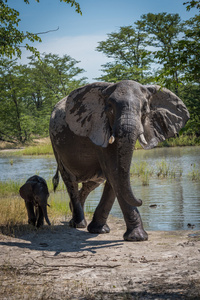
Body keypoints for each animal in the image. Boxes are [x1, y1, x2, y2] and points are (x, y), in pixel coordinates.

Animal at [49, 79, 190, 241]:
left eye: (144, 109)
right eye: (110, 107)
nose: (141, 200)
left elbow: (115, 174)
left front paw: (100, 230)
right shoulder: (99, 126)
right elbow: (114, 172)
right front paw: (138, 237)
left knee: (92, 182)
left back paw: (74, 212)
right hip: (55, 143)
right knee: (69, 180)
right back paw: (78, 224)